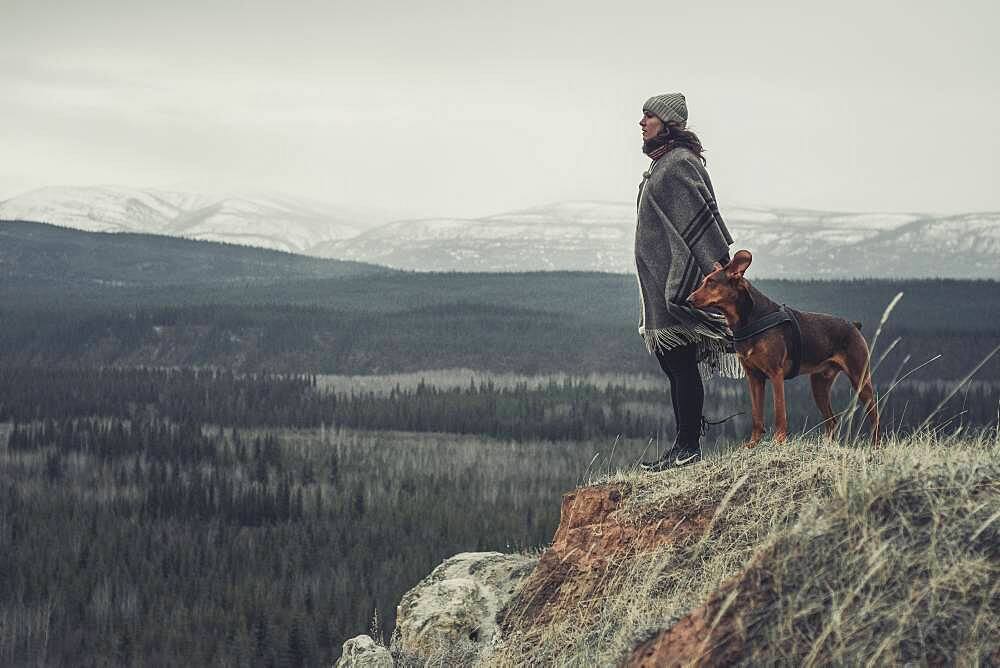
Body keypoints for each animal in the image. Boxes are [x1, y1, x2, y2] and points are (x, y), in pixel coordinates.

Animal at [692, 250, 880, 448]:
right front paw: (753, 443)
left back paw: (875, 446)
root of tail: (854, 326)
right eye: (704, 281)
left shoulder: (776, 373)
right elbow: (756, 416)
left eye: (711, 282)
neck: (749, 320)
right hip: (819, 383)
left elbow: (779, 413)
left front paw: (779, 440)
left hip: (860, 378)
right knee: (832, 421)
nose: (689, 299)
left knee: (874, 416)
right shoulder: (754, 377)